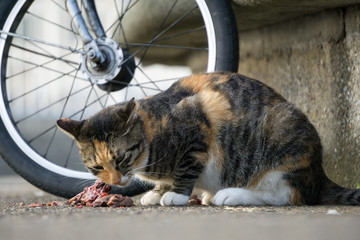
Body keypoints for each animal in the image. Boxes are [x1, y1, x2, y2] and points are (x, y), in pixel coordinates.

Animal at [57, 71, 360, 206]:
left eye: (121, 158)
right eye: (97, 167)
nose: (117, 181)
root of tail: (319, 174)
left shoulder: (196, 131)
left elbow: (186, 168)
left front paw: (175, 195)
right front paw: (158, 192)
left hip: (282, 135)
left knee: (284, 195)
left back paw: (230, 194)